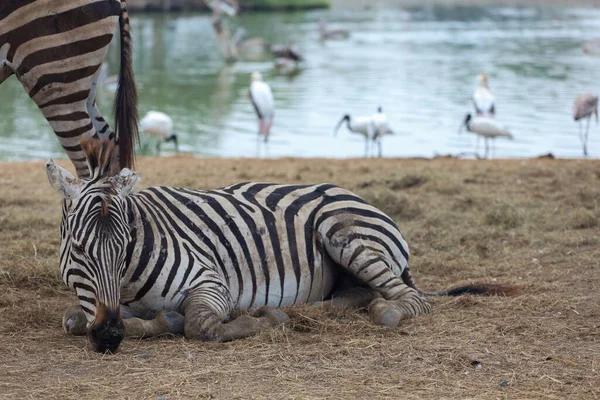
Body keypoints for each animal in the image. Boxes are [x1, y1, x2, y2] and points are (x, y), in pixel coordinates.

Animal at [47, 139, 516, 352]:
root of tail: (354, 194)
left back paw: (385, 312)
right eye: (80, 251)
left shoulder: (211, 282)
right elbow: (73, 319)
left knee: (409, 298)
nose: (109, 337)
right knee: (358, 294)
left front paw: (261, 320)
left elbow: (202, 325)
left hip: (344, 233)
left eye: (124, 246)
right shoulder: (100, 304)